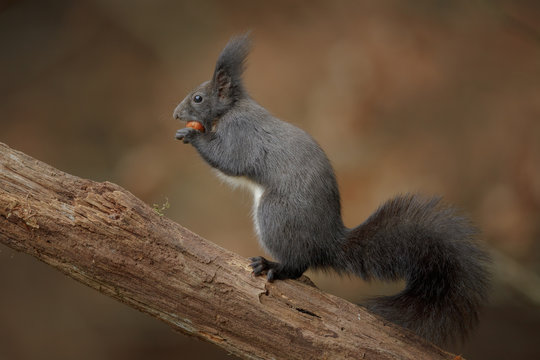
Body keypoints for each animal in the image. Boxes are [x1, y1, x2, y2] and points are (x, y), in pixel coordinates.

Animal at [173, 34, 490, 346]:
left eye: (198, 98)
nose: (176, 114)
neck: (232, 109)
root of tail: (327, 243)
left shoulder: (241, 134)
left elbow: (228, 159)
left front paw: (192, 134)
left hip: (274, 216)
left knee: (298, 264)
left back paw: (272, 265)